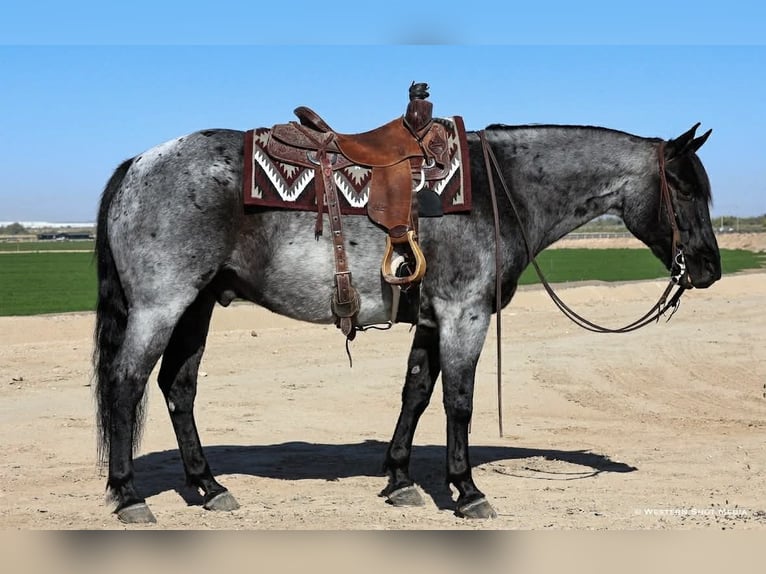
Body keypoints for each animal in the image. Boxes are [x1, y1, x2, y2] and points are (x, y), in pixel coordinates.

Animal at [94, 120, 721, 523]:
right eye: (683, 187)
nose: (710, 268)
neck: (500, 189)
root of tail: (139, 164)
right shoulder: (465, 312)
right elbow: (459, 402)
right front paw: (466, 490)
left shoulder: (433, 319)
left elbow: (415, 393)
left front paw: (399, 480)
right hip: (162, 305)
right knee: (126, 384)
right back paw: (129, 496)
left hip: (196, 305)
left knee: (178, 386)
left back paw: (208, 486)